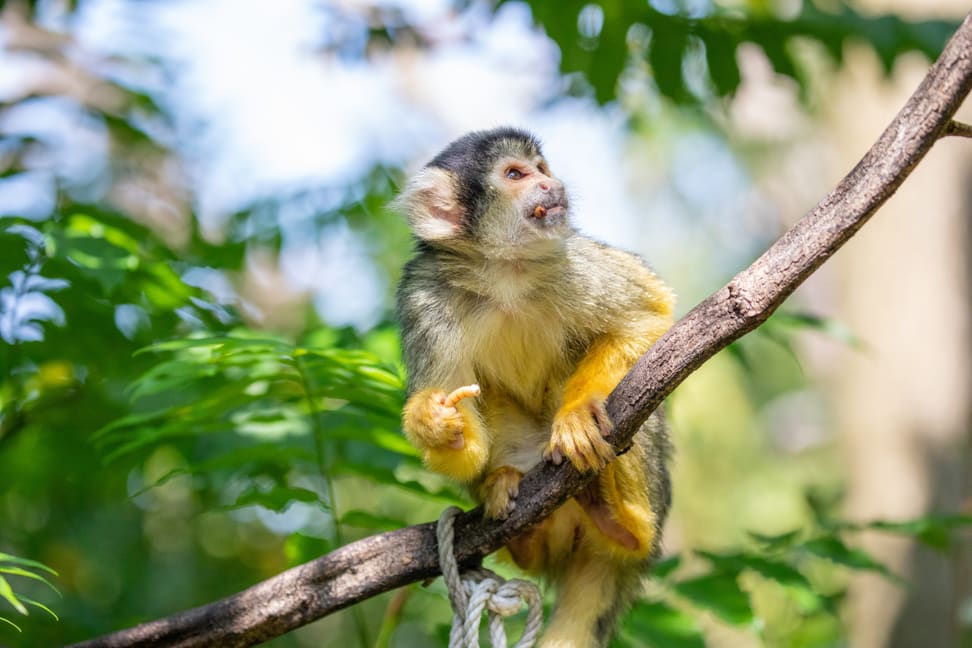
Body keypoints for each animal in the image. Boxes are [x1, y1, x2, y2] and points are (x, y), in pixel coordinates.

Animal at [398, 129, 672, 644]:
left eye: (542, 169)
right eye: (515, 174)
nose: (552, 185)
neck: (503, 271)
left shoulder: (568, 257)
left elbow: (649, 313)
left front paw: (578, 415)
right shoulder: (424, 297)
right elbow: (466, 443)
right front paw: (436, 420)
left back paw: (621, 523)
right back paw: (520, 520)